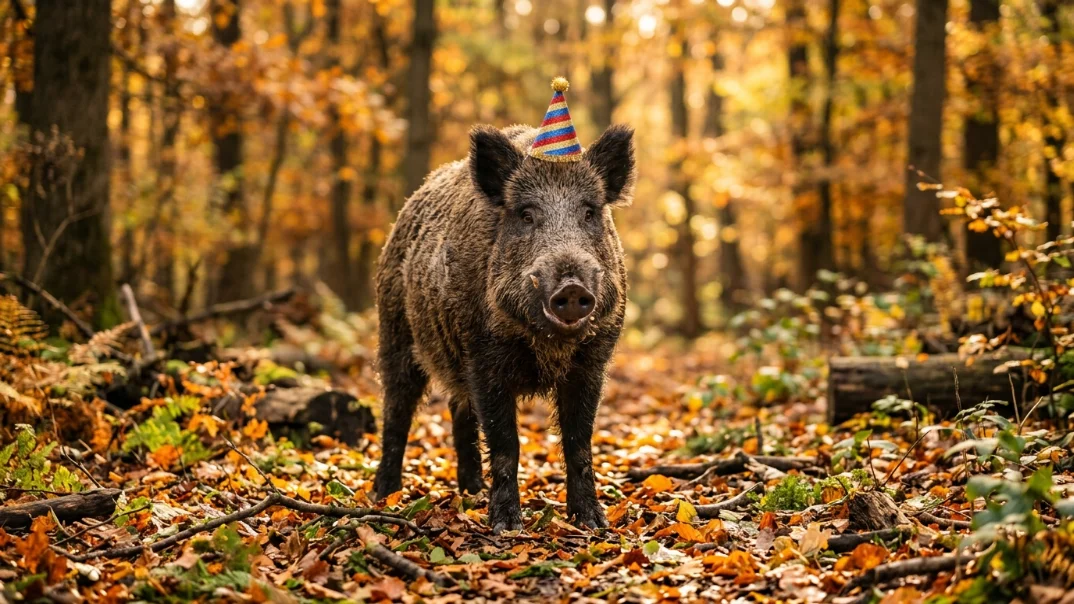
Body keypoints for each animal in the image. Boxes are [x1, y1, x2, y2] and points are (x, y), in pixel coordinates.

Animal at [372, 122, 636, 533]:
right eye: (526, 214)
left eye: (589, 212)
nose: (571, 287)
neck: (548, 346)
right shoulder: (483, 356)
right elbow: (505, 442)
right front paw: (507, 526)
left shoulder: (592, 362)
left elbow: (579, 441)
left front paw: (593, 523)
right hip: (395, 333)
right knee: (397, 410)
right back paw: (385, 495)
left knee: (459, 410)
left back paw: (472, 491)